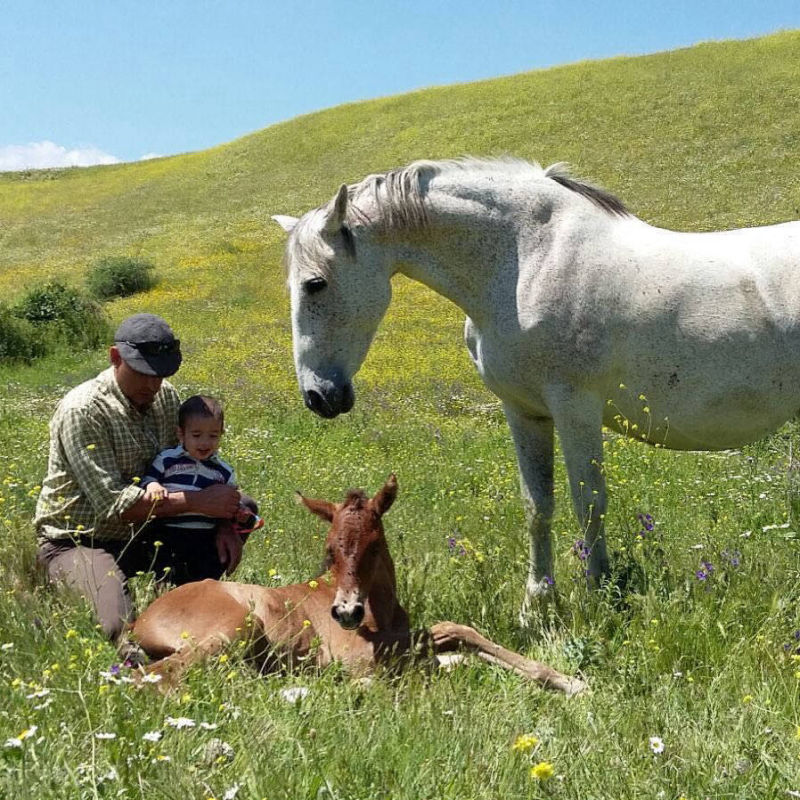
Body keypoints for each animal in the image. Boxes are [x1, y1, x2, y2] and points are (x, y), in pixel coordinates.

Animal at [130, 475, 584, 694]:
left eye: (375, 544)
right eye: (330, 549)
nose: (346, 612)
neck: (381, 617)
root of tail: (138, 623)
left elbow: (458, 642)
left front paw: (566, 681)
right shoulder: (358, 655)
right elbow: (447, 632)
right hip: (233, 628)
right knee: (157, 676)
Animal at [272, 156, 800, 620]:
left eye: (315, 284)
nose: (318, 396)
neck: (526, 260)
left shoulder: (575, 409)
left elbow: (589, 503)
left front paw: (599, 594)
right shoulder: (524, 411)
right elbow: (537, 507)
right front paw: (537, 602)